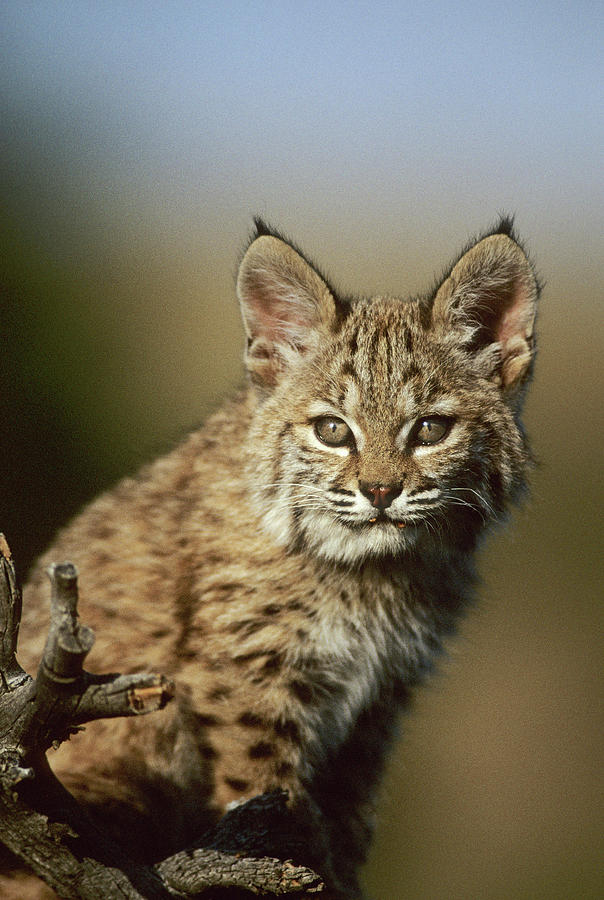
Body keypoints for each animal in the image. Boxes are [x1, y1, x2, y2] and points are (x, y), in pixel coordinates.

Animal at [14, 216, 536, 892]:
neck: (373, 572)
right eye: (333, 430)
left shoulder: (377, 702)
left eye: (429, 430)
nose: (380, 491)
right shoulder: (245, 672)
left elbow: (345, 817)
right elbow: (268, 794)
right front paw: (289, 867)